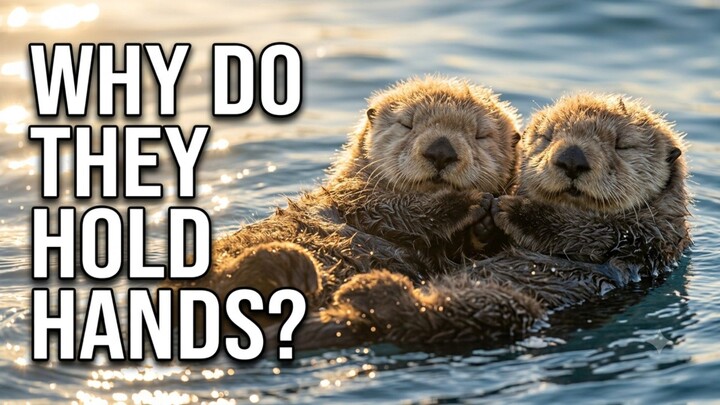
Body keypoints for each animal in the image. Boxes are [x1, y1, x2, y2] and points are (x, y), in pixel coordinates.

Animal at [179, 76, 521, 322]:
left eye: (481, 135)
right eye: (407, 124)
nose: (441, 150)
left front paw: (487, 225)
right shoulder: (356, 196)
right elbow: (399, 210)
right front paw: (470, 202)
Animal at [311, 93, 691, 347]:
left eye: (622, 145)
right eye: (547, 137)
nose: (571, 157)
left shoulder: (641, 234)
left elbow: (584, 230)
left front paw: (509, 209)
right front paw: (479, 211)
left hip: (505, 307)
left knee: (411, 314)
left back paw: (370, 290)